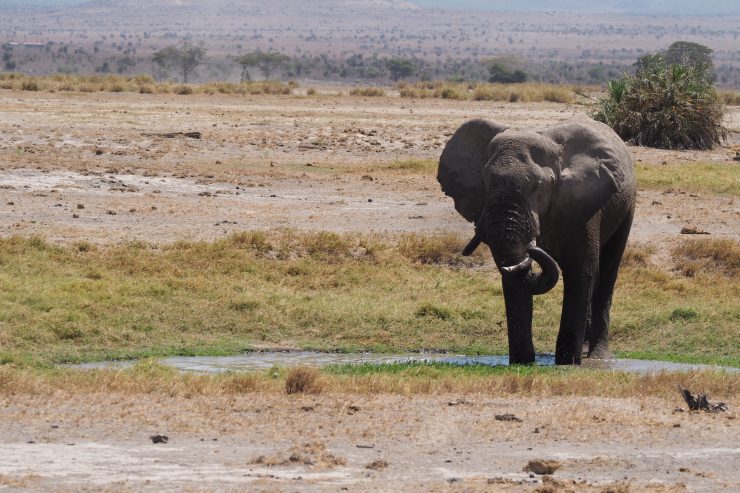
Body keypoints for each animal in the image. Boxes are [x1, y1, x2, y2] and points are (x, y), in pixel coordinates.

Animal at [440, 113, 636, 364]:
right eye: (485, 182)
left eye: (539, 186)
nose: (533, 249)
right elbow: (513, 275)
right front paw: (522, 362)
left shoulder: (584, 206)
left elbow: (581, 272)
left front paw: (567, 364)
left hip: (627, 206)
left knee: (607, 273)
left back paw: (598, 357)